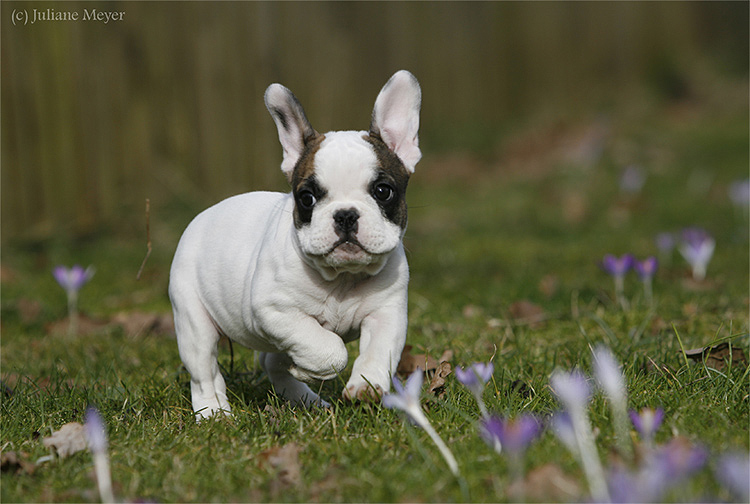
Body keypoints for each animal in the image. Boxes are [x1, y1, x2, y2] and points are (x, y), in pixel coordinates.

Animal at [171, 71, 426, 418]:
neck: (341, 278)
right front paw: (312, 367)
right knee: (204, 371)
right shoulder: (274, 311)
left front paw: (365, 386)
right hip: (194, 322)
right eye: (307, 198)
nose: (346, 215)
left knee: (271, 361)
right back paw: (214, 413)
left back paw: (304, 398)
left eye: (383, 191)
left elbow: (379, 350)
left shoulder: (386, 313)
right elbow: (328, 349)